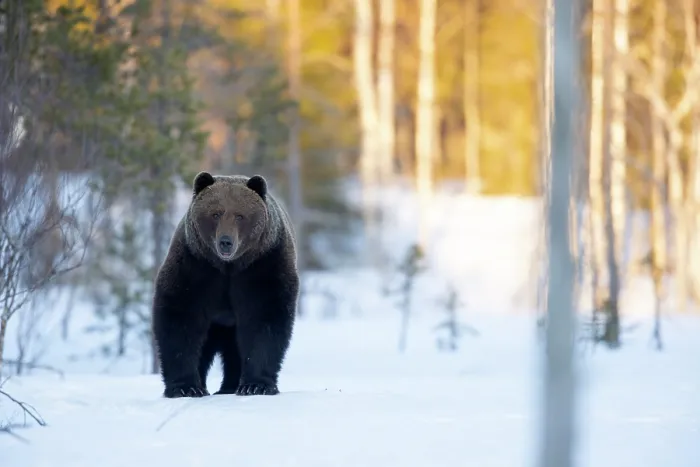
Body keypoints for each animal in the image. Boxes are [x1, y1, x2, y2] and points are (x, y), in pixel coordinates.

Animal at [151, 172, 299, 398]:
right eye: (216, 213)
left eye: (240, 215)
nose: (226, 241)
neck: (228, 267)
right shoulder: (195, 267)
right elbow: (179, 319)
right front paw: (185, 387)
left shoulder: (263, 267)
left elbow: (265, 319)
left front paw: (256, 385)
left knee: (234, 348)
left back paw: (229, 386)